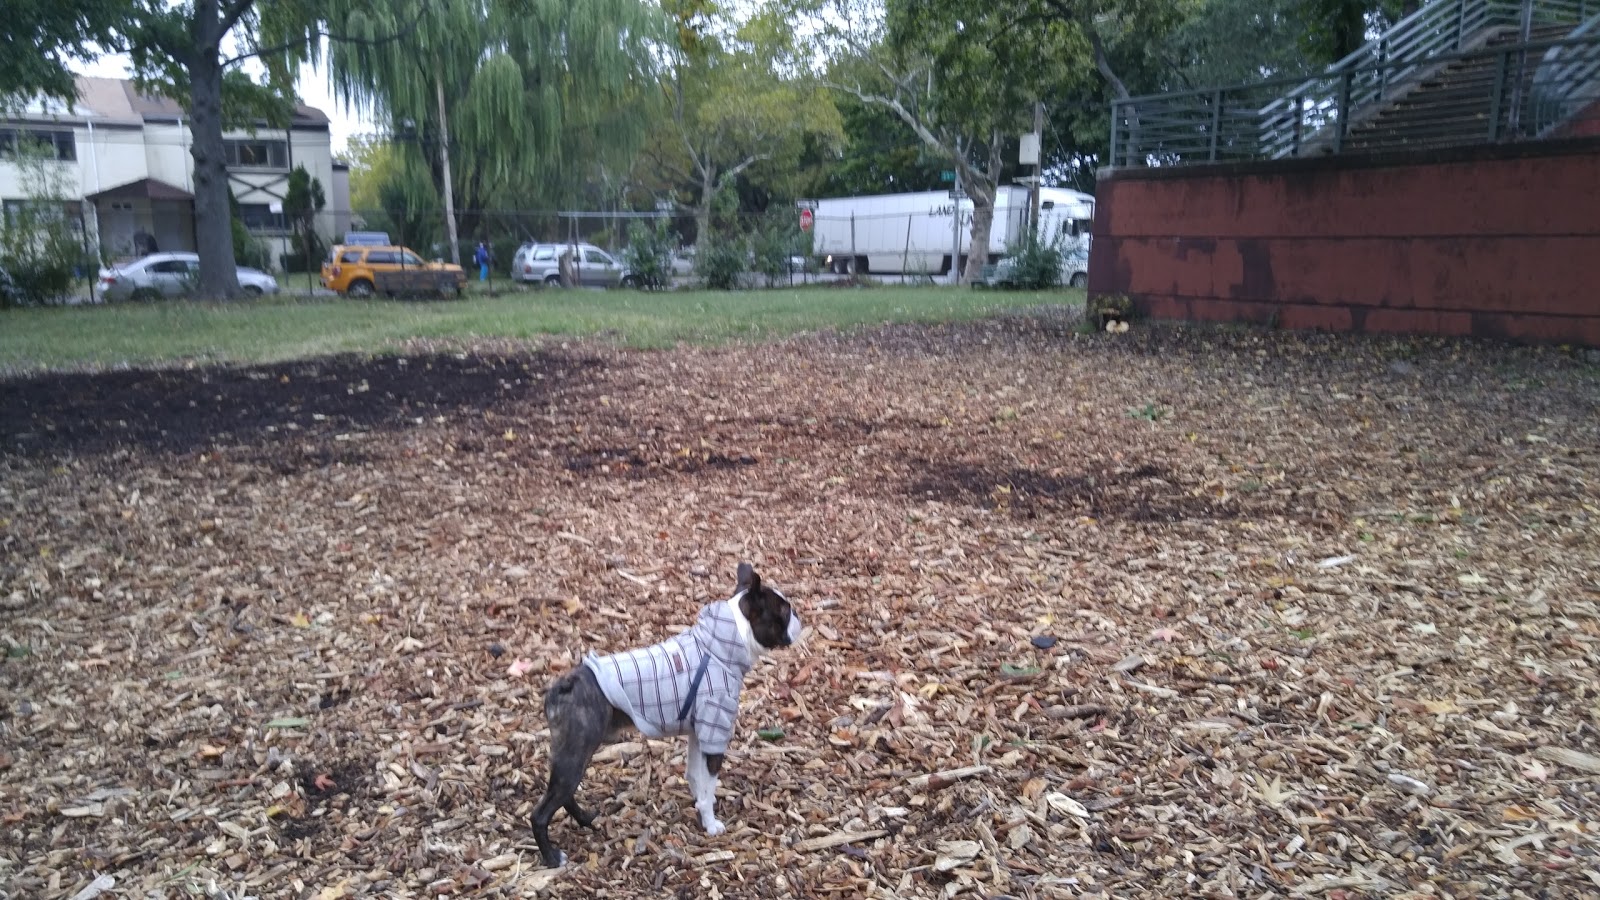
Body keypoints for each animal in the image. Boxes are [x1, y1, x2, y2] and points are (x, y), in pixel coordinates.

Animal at [531, 560, 800, 864]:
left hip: (573, 756)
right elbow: (708, 782)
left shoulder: (698, 734)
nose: (798, 616)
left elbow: (696, 775)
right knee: (541, 813)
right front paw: (711, 824)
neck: (722, 647)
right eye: (784, 612)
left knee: (564, 795)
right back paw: (552, 858)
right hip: (575, 754)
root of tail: (565, 684)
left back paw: (586, 819)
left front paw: (701, 803)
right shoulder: (714, 734)